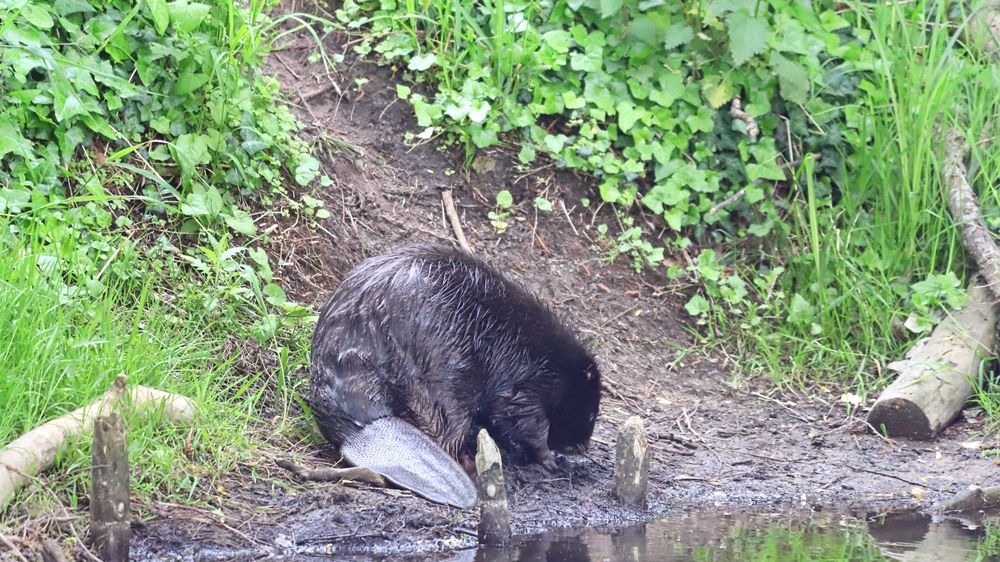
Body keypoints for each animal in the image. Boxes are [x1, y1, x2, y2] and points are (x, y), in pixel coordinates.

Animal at [308, 241, 600, 508]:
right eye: (590, 414)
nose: (584, 446)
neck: (549, 361)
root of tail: (366, 425)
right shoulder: (525, 384)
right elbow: (524, 420)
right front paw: (552, 460)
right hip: (444, 375)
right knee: (447, 429)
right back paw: (470, 465)